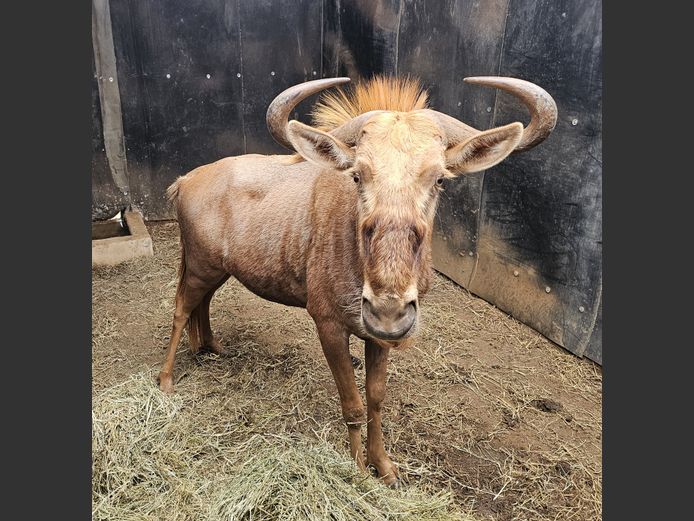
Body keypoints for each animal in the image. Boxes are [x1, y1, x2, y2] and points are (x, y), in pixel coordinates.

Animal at [159, 75, 557, 486]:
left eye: (439, 179)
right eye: (357, 175)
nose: (388, 309)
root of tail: (186, 179)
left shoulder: (377, 336)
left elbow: (375, 398)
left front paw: (383, 465)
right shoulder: (329, 325)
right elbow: (351, 402)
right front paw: (358, 470)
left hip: (216, 270)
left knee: (202, 304)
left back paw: (209, 347)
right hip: (199, 266)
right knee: (180, 309)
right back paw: (166, 381)